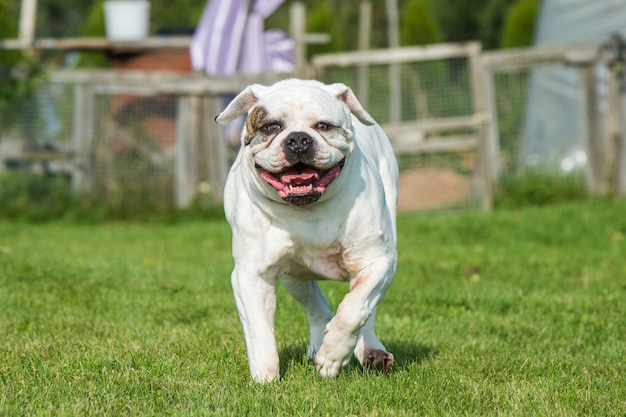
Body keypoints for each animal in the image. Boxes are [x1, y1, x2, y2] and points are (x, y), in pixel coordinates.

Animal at [214, 79, 398, 382]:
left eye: (323, 126)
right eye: (271, 127)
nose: (298, 139)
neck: (308, 209)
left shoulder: (378, 261)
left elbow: (355, 309)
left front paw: (333, 356)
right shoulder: (251, 276)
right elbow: (260, 330)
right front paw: (265, 378)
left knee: (364, 311)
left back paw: (371, 351)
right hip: (295, 277)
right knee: (318, 306)